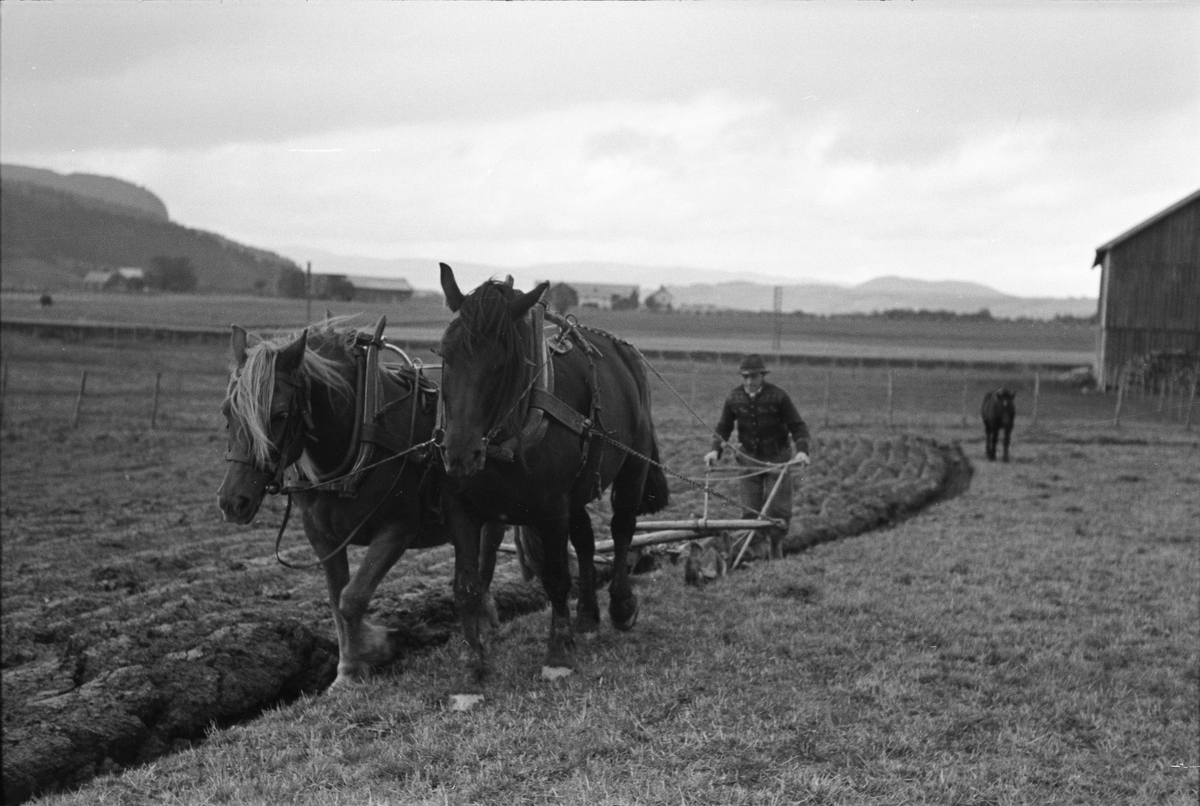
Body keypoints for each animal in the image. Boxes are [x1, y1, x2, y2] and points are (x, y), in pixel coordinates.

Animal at [216, 321, 506, 686]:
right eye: (227, 410)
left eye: (280, 413)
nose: (232, 502)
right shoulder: (322, 538)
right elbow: (336, 600)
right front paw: (348, 666)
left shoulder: (397, 530)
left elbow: (352, 598)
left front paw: (371, 652)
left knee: (485, 563)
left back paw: (485, 624)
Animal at [436, 263, 672, 686]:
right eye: (445, 354)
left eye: (503, 364)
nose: (459, 454)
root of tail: (625, 353)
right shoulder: (460, 504)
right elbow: (466, 584)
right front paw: (473, 663)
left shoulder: (551, 508)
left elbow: (557, 577)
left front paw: (558, 652)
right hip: (577, 488)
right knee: (586, 541)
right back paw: (588, 616)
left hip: (634, 464)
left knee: (622, 529)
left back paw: (620, 605)